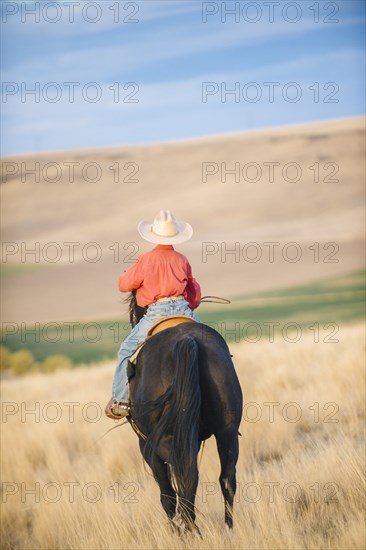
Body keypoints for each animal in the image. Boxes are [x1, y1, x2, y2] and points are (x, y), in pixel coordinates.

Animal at [126, 296, 243, 532]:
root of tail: (187, 341)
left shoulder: (147, 446)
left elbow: (167, 494)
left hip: (165, 442)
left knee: (180, 484)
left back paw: (190, 530)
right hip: (227, 432)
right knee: (225, 479)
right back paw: (227, 529)